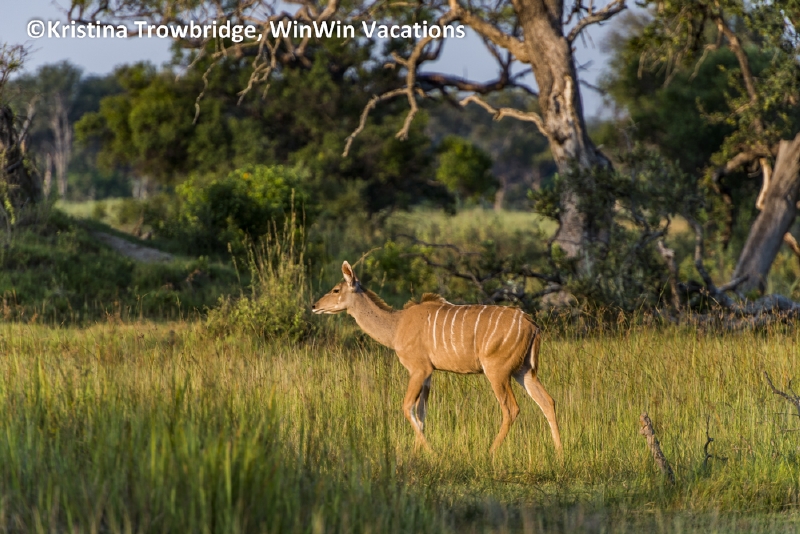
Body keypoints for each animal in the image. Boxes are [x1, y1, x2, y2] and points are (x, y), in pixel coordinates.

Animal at [311, 261, 563, 455]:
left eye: (336, 290)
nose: (314, 306)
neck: (397, 326)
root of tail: (532, 325)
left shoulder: (418, 369)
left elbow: (407, 407)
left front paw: (432, 453)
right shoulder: (429, 373)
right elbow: (421, 412)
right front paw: (417, 454)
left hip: (497, 372)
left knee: (511, 408)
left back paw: (489, 453)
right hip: (525, 371)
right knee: (547, 401)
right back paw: (560, 454)